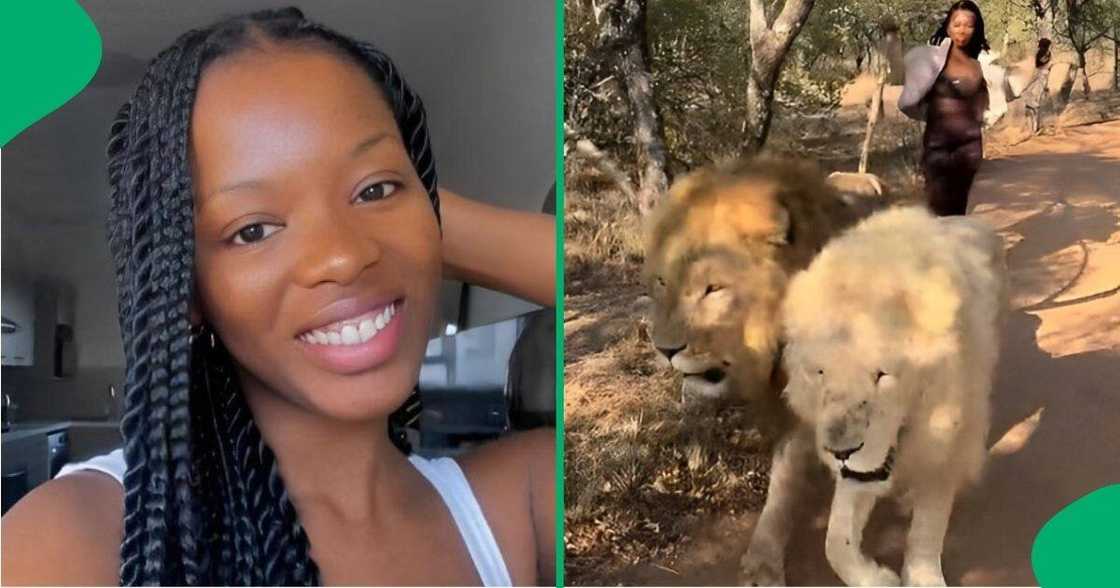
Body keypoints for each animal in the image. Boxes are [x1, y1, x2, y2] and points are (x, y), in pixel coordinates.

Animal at [779, 204, 1008, 582]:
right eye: (820, 372)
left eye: (882, 374)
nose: (841, 451)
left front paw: (922, 577)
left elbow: (927, 532)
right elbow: (835, 544)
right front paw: (877, 578)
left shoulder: (945, 449)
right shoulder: (858, 474)